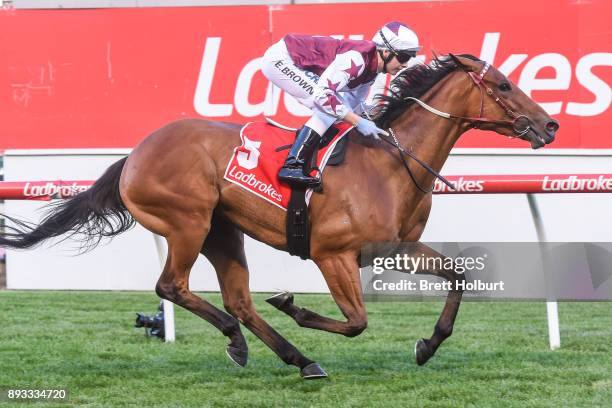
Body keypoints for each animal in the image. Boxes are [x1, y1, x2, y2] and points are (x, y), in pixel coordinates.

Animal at [0, 54, 556, 380]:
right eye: (504, 85)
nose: (550, 125)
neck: (390, 163)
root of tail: (134, 154)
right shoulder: (332, 254)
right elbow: (356, 321)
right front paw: (295, 306)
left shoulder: (394, 248)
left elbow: (459, 276)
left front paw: (427, 345)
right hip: (187, 222)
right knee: (172, 286)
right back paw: (250, 341)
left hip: (222, 231)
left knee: (239, 300)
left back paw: (291, 356)